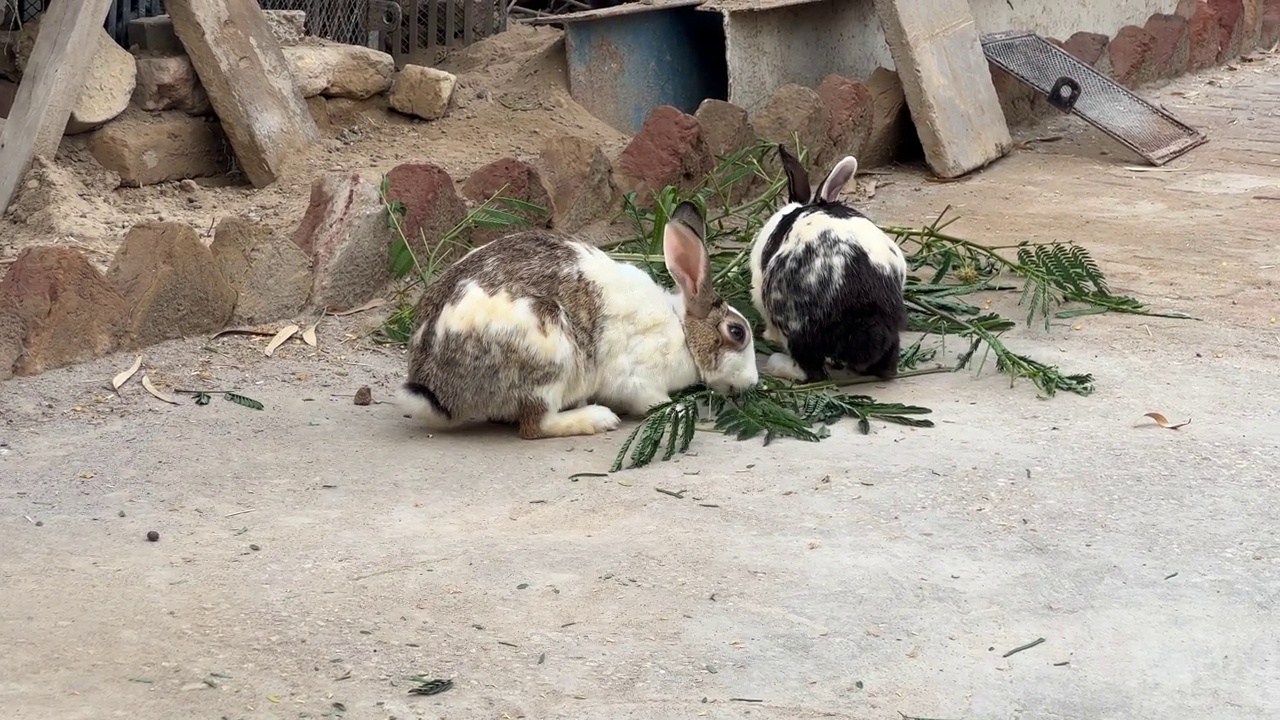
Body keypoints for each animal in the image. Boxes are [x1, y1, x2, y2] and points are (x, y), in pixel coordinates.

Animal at [747, 144, 916, 381]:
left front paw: (767, 336)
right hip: (891, 329)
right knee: (887, 366)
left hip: (795, 325)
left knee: (812, 370)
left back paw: (778, 365)